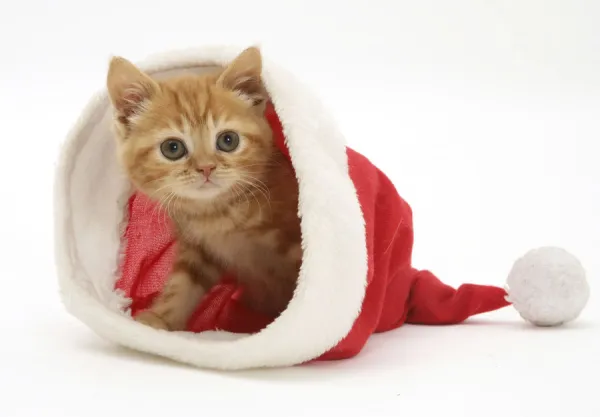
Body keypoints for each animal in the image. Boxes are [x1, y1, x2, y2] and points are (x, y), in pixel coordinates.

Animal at [106, 47, 302, 330]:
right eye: (172, 148)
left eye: (228, 140)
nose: (206, 167)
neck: (217, 214)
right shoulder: (197, 250)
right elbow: (182, 285)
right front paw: (158, 320)